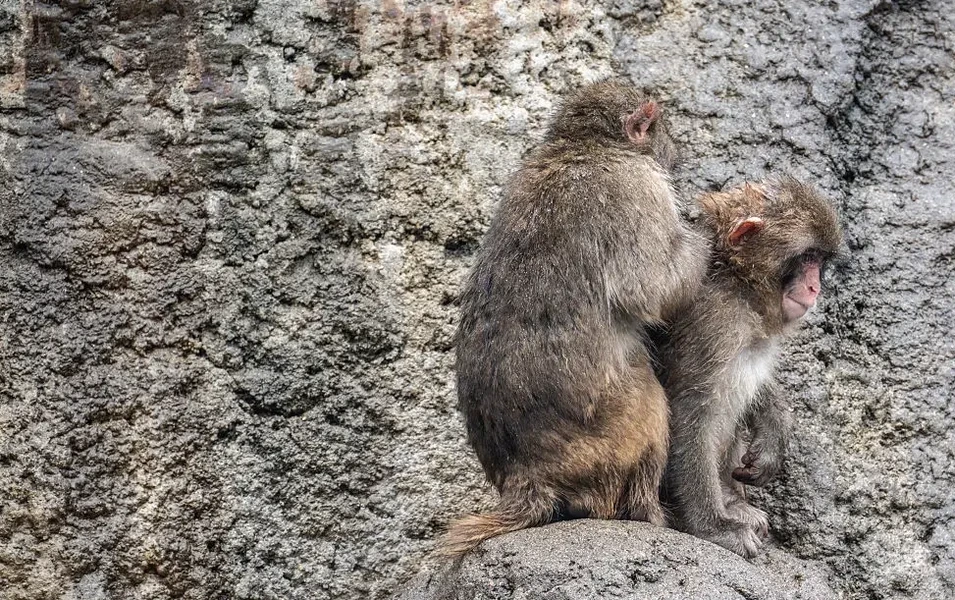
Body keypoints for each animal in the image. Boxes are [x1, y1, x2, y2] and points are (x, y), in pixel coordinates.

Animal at [438, 80, 708, 557]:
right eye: (661, 128)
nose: (676, 152)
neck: (583, 146)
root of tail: (527, 475)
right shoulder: (639, 189)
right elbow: (649, 287)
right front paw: (711, 238)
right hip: (616, 432)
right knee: (652, 408)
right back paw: (648, 511)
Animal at [653, 177, 843, 558]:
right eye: (807, 257)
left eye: (820, 260)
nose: (815, 287)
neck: (739, 283)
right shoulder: (714, 323)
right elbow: (689, 408)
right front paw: (712, 526)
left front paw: (774, 430)